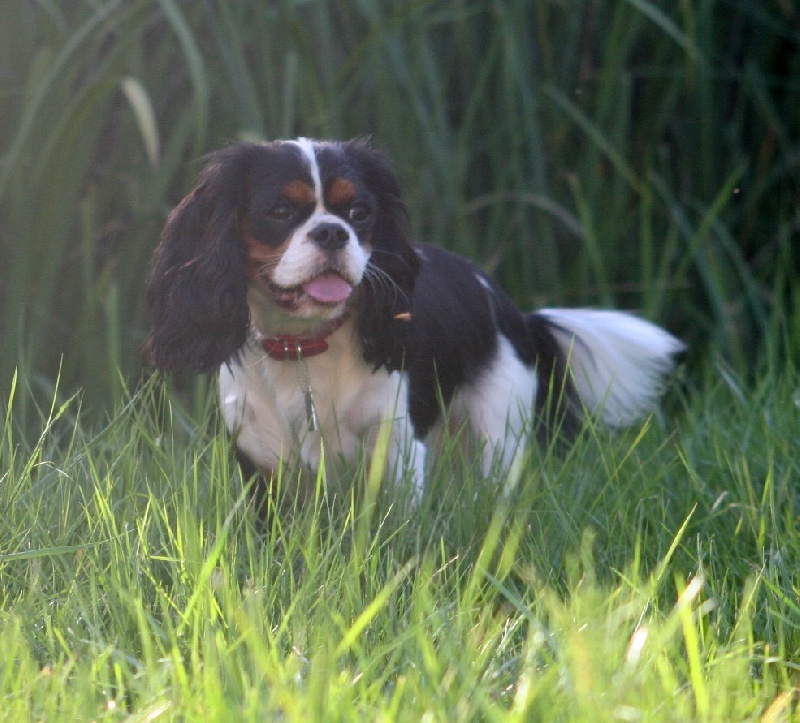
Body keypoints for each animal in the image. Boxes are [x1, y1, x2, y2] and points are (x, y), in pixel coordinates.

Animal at [142, 139, 680, 500]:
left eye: (360, 212)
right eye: (279, 210)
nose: (333, 232)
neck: (305, 346)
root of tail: (515, 313)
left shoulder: (395, 448)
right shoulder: (259, 456)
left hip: (498, 427)